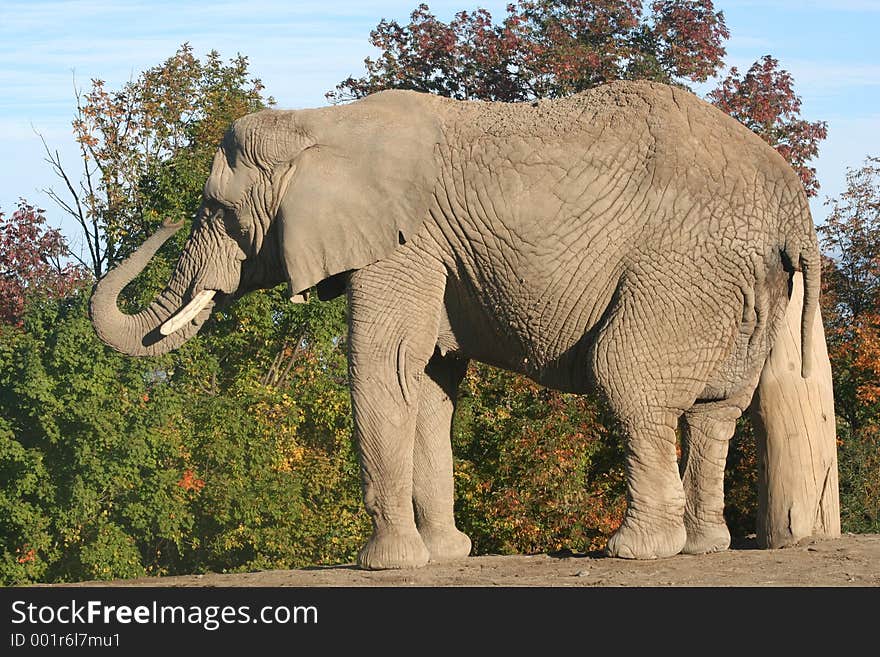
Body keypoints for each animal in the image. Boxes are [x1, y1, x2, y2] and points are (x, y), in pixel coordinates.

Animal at [89, 78, 820, 568]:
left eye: (218, 211)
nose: (167, 222)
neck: (321, 123)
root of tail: (793, 204)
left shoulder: (402, 243)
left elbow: (383, 364)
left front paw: (386, 563)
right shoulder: (434, 254)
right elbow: (430, 386)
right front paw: (446, 553)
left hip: (682, 269)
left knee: (628, 381)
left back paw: (638, 550)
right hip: (744, 287)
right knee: (716, 412)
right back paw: (703, 545)